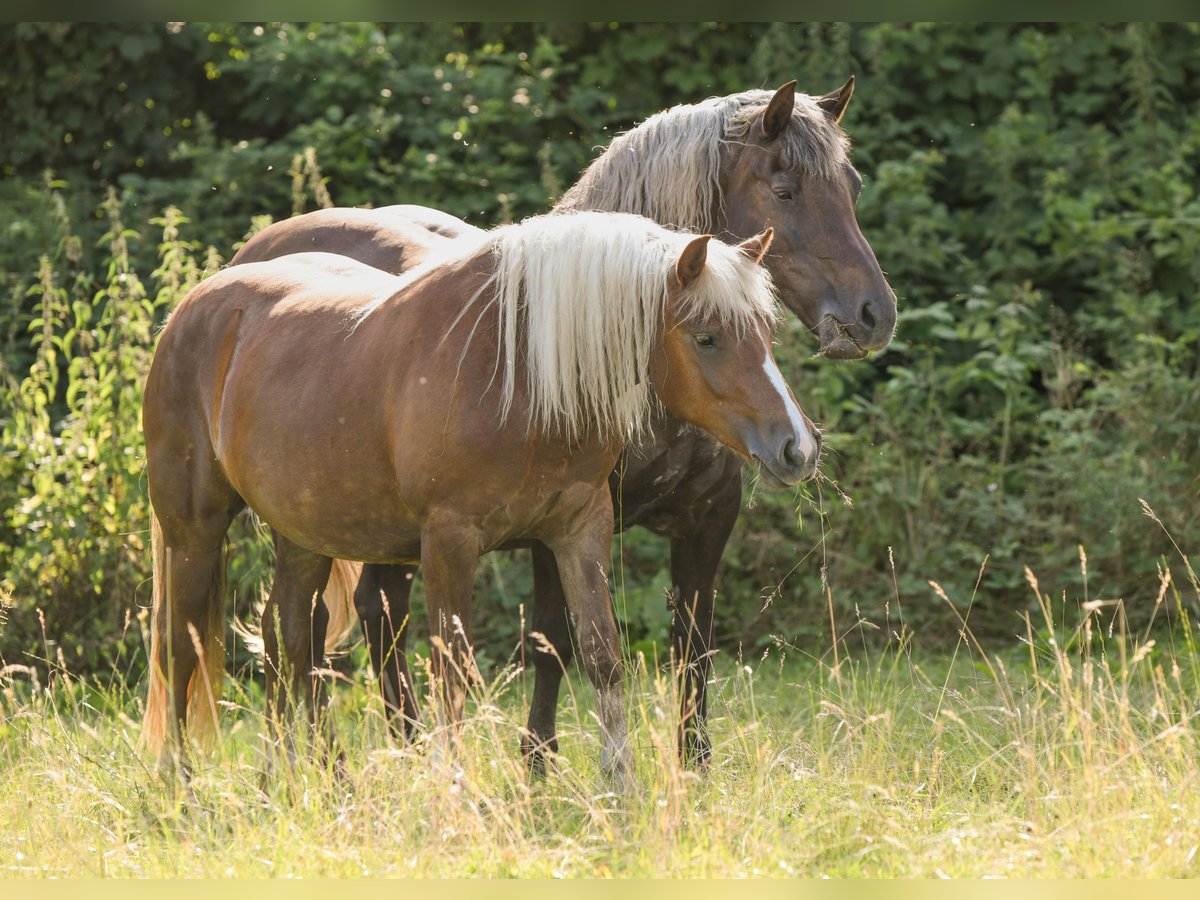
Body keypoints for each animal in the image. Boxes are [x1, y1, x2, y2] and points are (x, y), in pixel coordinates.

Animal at [138, 211, 816, 787]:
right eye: (707, 338)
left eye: (766, 332)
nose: (797, 447)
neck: (518, 372)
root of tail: (198, 303)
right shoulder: (449, 539)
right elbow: (453, 672)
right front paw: (452, 791)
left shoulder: (580, 527)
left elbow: (602, 656)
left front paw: (620, 791)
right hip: (193, 529)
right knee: (180, 647)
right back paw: (181, 789)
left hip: (303, 534)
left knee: (291, 639)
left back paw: (300, 782)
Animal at [234, 77, 892, 772]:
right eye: (785, 190)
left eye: (852, 186)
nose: (874, 315)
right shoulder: (555, 526)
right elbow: (554, 640)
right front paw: (538, 764)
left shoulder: (706, 521)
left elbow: (693, 645)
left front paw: (693, 765)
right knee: (328, 624)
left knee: (376, 611)